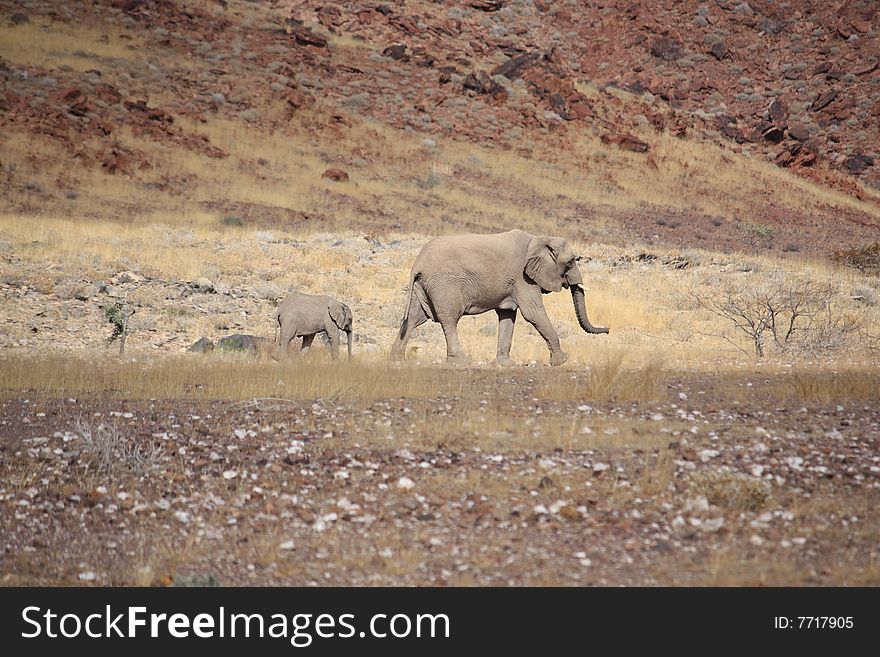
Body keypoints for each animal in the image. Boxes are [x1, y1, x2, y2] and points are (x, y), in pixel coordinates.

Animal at [390, 229, 604, 364]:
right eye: (570, 263)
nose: (607, 330)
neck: (538, 239)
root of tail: (418, 262)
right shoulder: (523, 278)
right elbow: (533, 313)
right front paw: (562, 360)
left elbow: (507, 315)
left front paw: (505, 364)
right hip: (444, 284)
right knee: (449, 319)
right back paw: (461, 361)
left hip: (423, 286)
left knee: (414, 318)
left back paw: (397, 359)